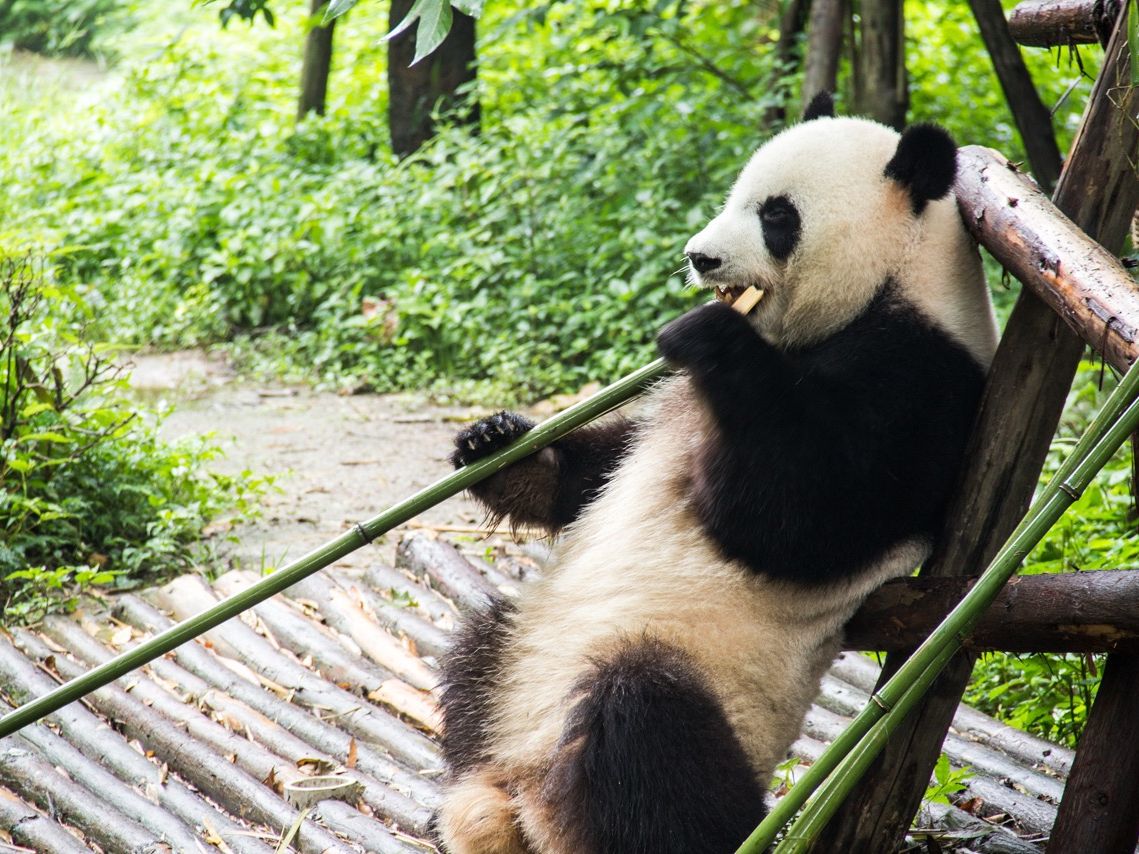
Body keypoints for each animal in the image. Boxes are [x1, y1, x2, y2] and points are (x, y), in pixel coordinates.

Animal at [435, 92, 998, 854]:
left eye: (776, 215)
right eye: (735, 196)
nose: (699, 257)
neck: (895, 281)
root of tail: (524, 790)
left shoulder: (926, 380)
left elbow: (802, 516)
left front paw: (705, 335)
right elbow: (596, 474)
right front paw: (496, 443)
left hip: (705, 686)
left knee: (647, 733)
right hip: (523, 656)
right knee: (476, 647)